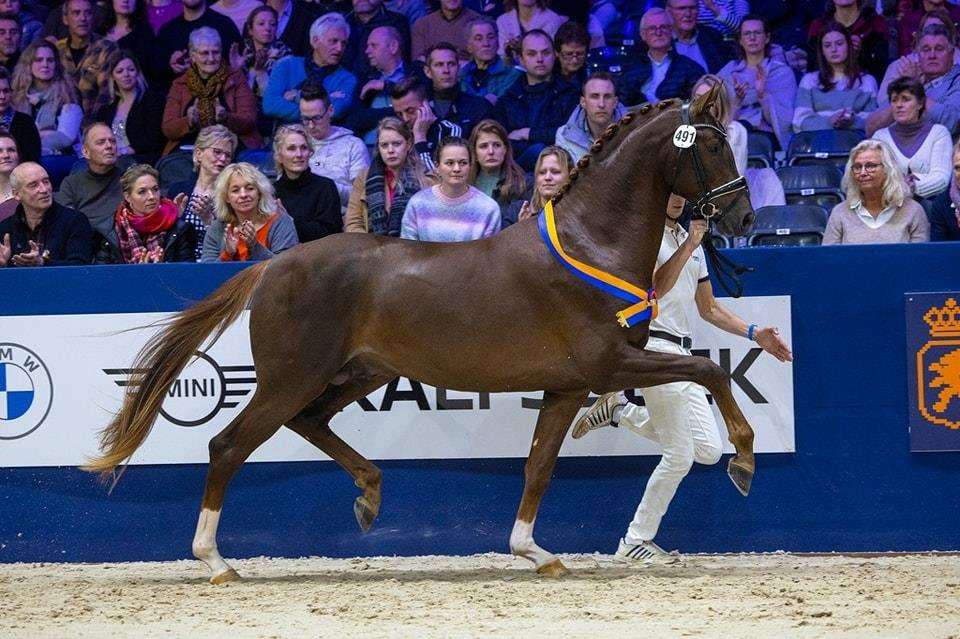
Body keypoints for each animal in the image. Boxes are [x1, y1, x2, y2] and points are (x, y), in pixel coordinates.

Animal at [84, 86, 756, 583]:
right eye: (712, 146)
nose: (743, 215)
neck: (593, 242)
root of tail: (272, 265)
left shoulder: (568, 386)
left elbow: (539, 466)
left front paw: (534, 552)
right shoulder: (610, 363)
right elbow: (710, 369)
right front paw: (744, 461)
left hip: (360, 372)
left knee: (310, 422)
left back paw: (368, 495)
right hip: (289, 378)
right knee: (228, 445)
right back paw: (217, 561)